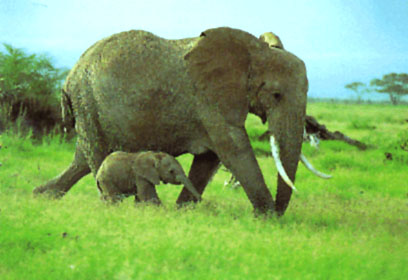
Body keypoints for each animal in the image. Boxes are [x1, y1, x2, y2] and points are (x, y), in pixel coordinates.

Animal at [35, 27, 326, 215]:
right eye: (276, 95)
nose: (278, 211)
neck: (254, 51)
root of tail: (69, 77)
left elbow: (210, 158)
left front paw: (182, 211)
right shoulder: (209, 99)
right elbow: (233, 149)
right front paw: (267, 218)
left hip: (89, 107)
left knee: (82, 159)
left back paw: (41, 196)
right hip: (87, 101)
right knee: (96, 154)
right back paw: (111, 205)